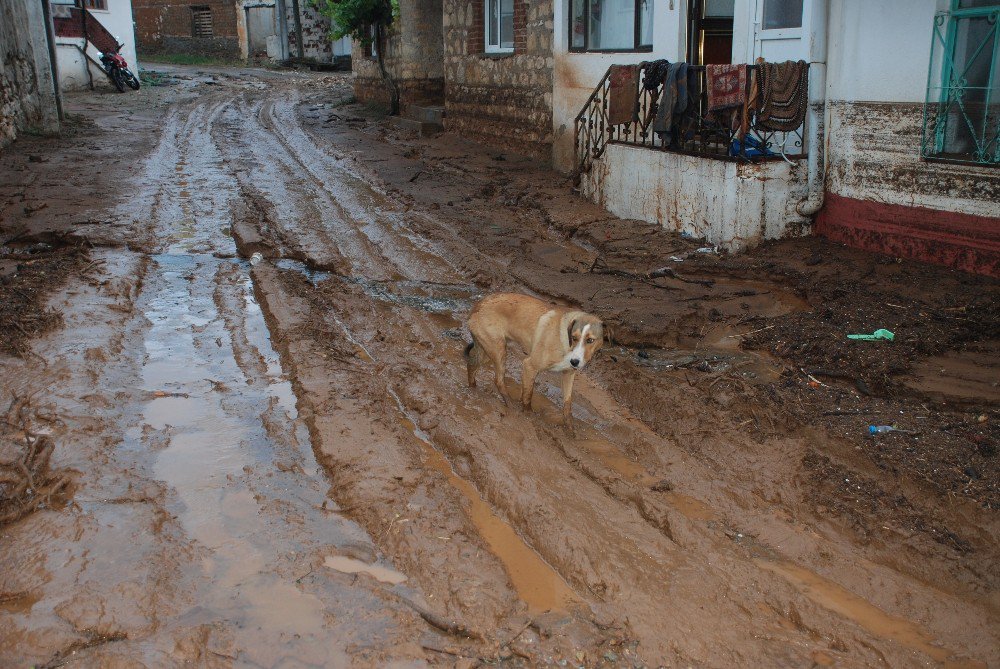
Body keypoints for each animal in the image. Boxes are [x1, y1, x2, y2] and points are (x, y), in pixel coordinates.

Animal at [466, 294, 600, 430]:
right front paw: (528, 416)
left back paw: (473, 388)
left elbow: (567, 405)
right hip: (499, 351)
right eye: (574, 337)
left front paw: (570, 430)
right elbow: (528, 396)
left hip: (487, 352)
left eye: (590, 340)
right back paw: (510, 405)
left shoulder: (568, 374)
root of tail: (478, 305)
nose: (575, 361)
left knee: (471, 363)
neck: (566, 341)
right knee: (498, 381)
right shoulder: (529, 366)